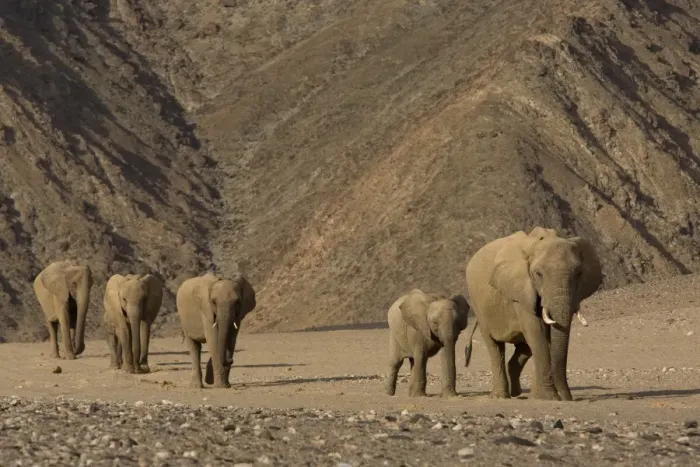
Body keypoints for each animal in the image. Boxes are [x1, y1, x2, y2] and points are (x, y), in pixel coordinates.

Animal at [464, 226, 601, 401]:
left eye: (579, 274)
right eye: (538, 274)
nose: (568, 398)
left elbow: (545, 337)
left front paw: (539, 397)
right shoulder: (521, 290)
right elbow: (537, 331)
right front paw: (548, 398)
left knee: (525, 347)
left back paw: (517, 393)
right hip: (478, 306)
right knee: (494, 345)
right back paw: (500, 396)